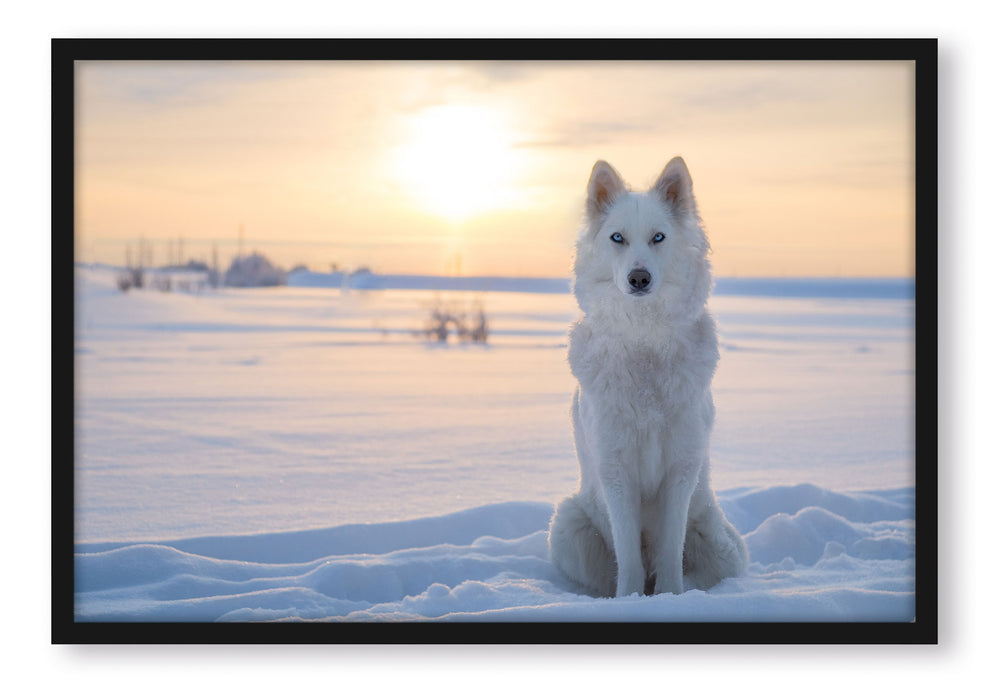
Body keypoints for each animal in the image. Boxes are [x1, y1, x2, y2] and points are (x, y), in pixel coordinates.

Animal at [548, 157, 748, 598]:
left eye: (658, 237)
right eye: (617, 238)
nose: (639, 278)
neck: (645, 342)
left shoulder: (681, 469)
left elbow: (671, 550)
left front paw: (670, 597)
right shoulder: (615, 470)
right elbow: (629, 557)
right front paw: (631, 600)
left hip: (722, 545)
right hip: (568, 526)